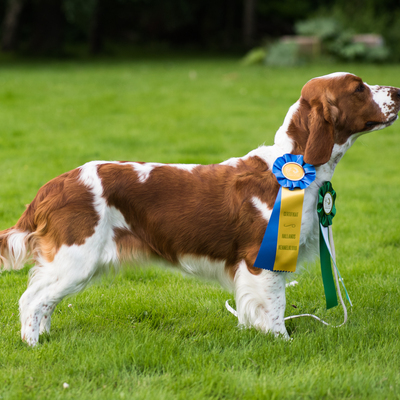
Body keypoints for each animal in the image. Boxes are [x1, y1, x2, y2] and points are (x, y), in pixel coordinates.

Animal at [1, 72, 400, 346]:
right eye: (358, 88)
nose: (397, 91)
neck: (295, 167)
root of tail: (54, 185)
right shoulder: (261, 260)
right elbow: (275, 306)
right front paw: (282, 342)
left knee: (42, 299)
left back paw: (44, 337)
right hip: (77, 259)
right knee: (32, 299)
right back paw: (33, 344)